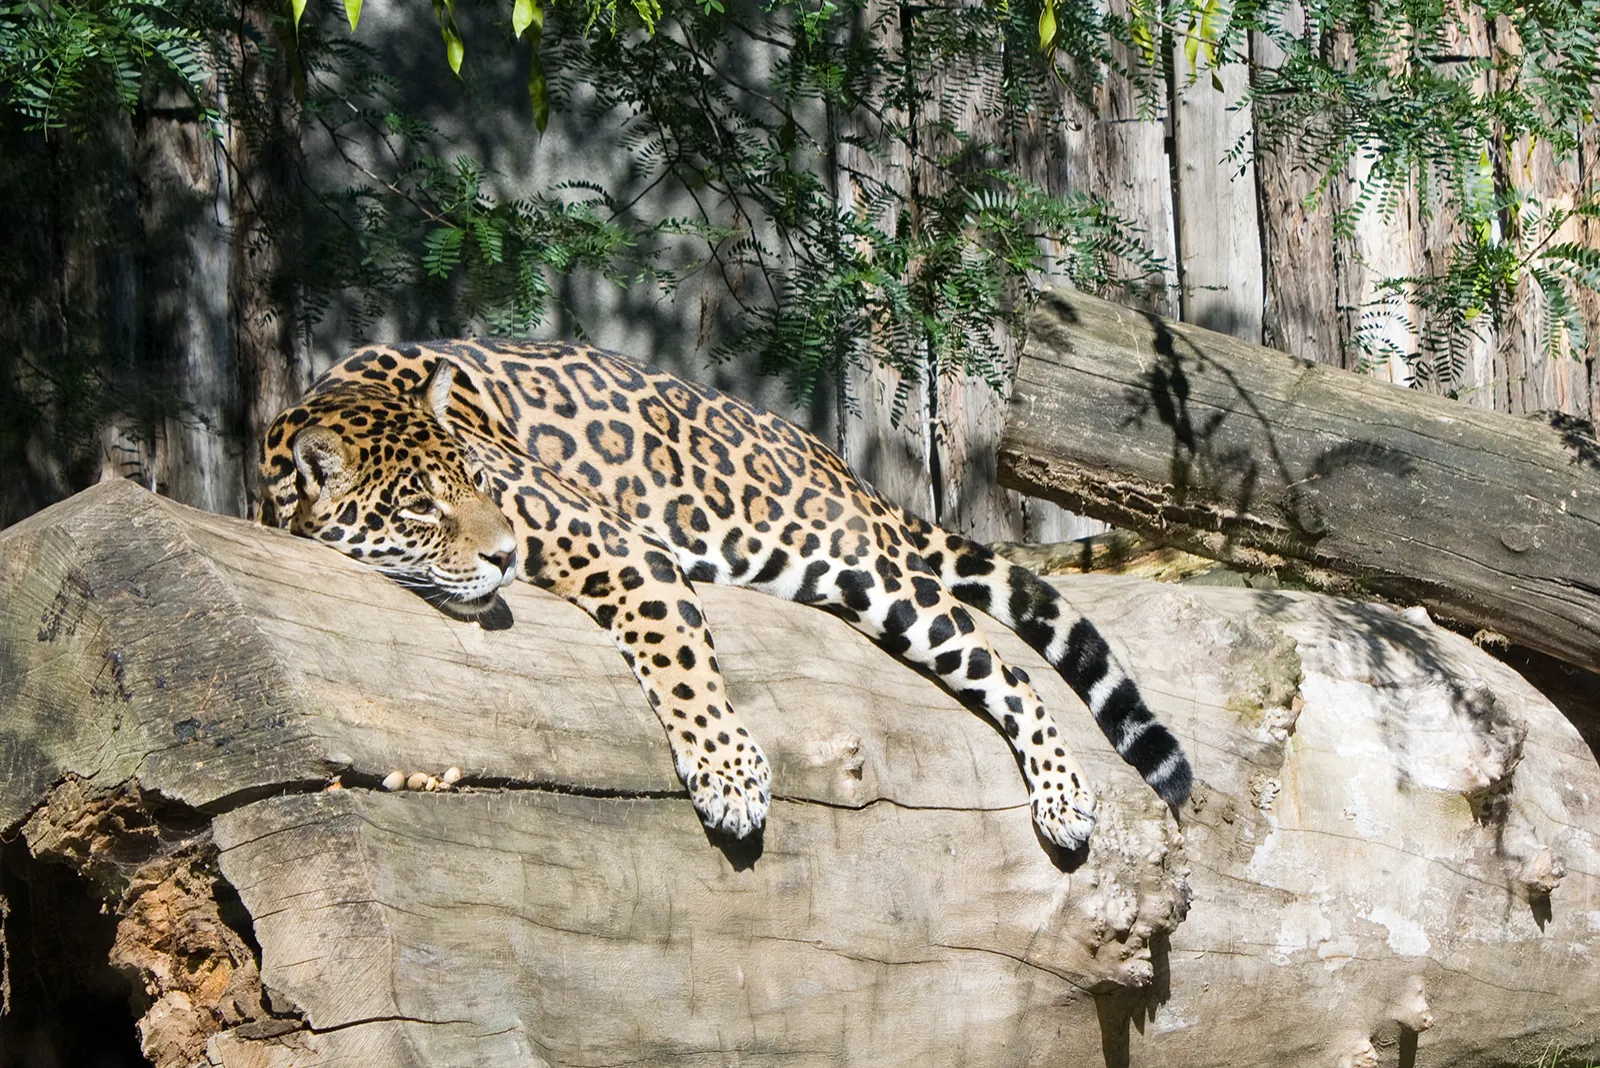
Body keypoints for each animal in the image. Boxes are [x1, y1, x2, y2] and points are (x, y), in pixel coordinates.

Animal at [259, 339, 1192, 850]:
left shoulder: (626, 548)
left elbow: (678, 656)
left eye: (478, 481)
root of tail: (834, 460)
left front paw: (730, 775)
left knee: (1009, 669)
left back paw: (1063, 795)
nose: (507, 553)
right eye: (421, 505)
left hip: (863, 571)